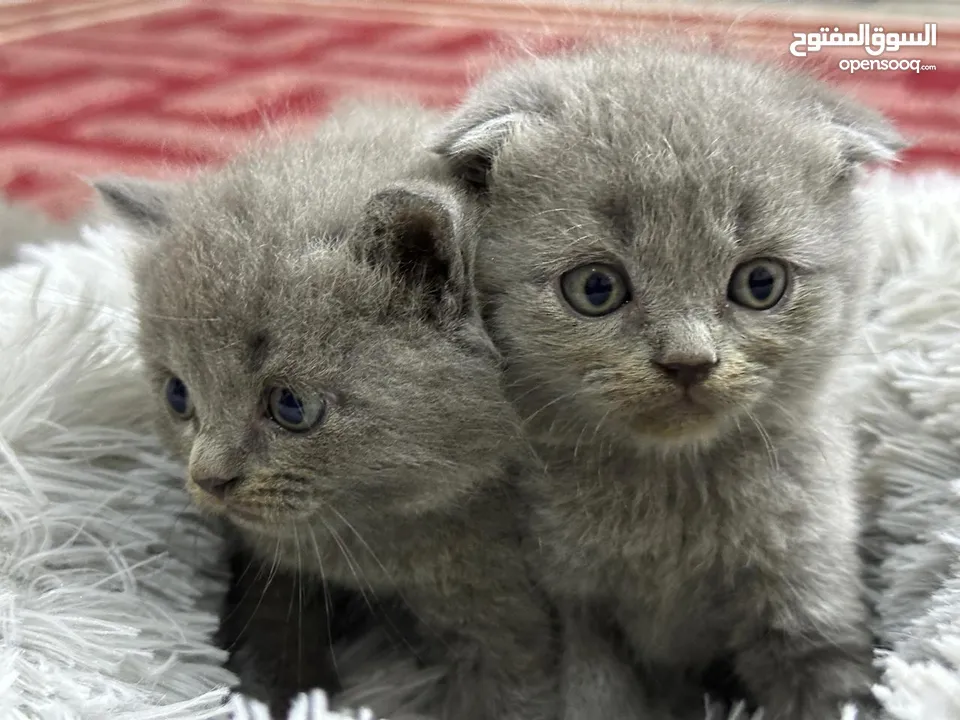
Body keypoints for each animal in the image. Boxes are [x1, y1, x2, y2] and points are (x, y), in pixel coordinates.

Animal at [95, 101, 564, 720]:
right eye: (178, 395)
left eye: (291, 406)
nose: (208, 479)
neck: (378, 541)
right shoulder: (274, 563)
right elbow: (272, 621)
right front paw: (273, 692)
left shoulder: (512, 613)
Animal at [432, 40, 904, 720]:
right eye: (595, 288)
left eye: (762, 282)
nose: (688, 360)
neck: (671, 492)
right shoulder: (575, 607)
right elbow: (597, 698)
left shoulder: (808, 590)